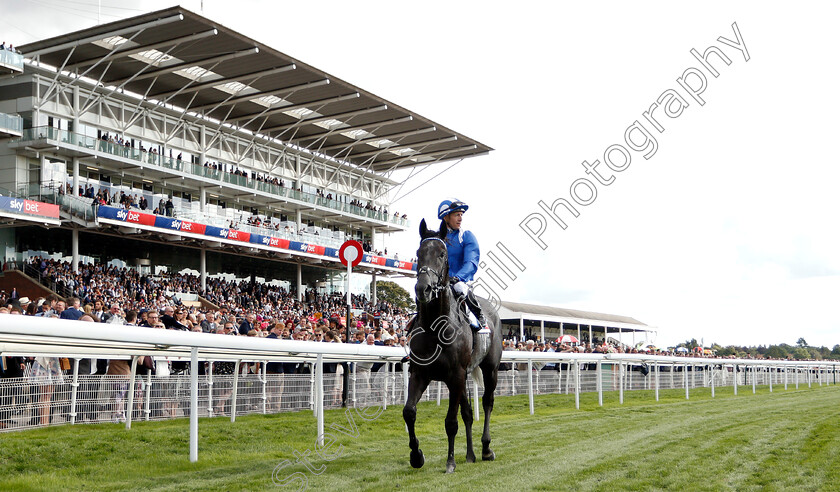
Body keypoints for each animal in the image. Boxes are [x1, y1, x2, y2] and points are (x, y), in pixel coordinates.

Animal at [404, 219, 502, 472]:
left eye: (442, 253)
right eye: (418, 253)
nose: (423, 289)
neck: (435, 328)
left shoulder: (455, 375)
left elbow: (450, 421)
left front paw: (450, 462)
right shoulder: (420, 373)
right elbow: (409, 412)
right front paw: (416, 455)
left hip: (490, 369)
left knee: (487, 402)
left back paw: (486, 448)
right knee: (468, 412)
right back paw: (470, 454)